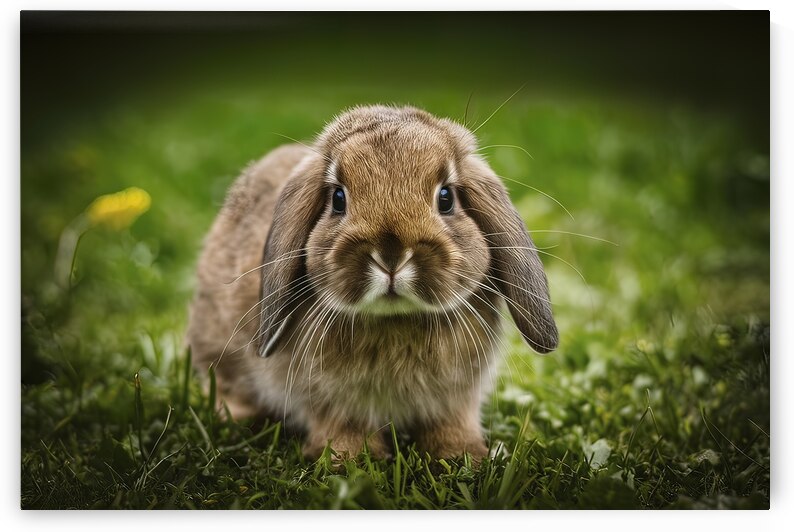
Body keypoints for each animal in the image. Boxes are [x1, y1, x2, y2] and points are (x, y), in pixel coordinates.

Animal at [186, 104, 558, 462]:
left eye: (446, 198)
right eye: (338, 198)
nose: (391, 255)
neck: (394, 321)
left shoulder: (455, 400)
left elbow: (452, 424)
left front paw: (464, 457)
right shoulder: (332, 402)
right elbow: (344, 429)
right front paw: (348, 461)